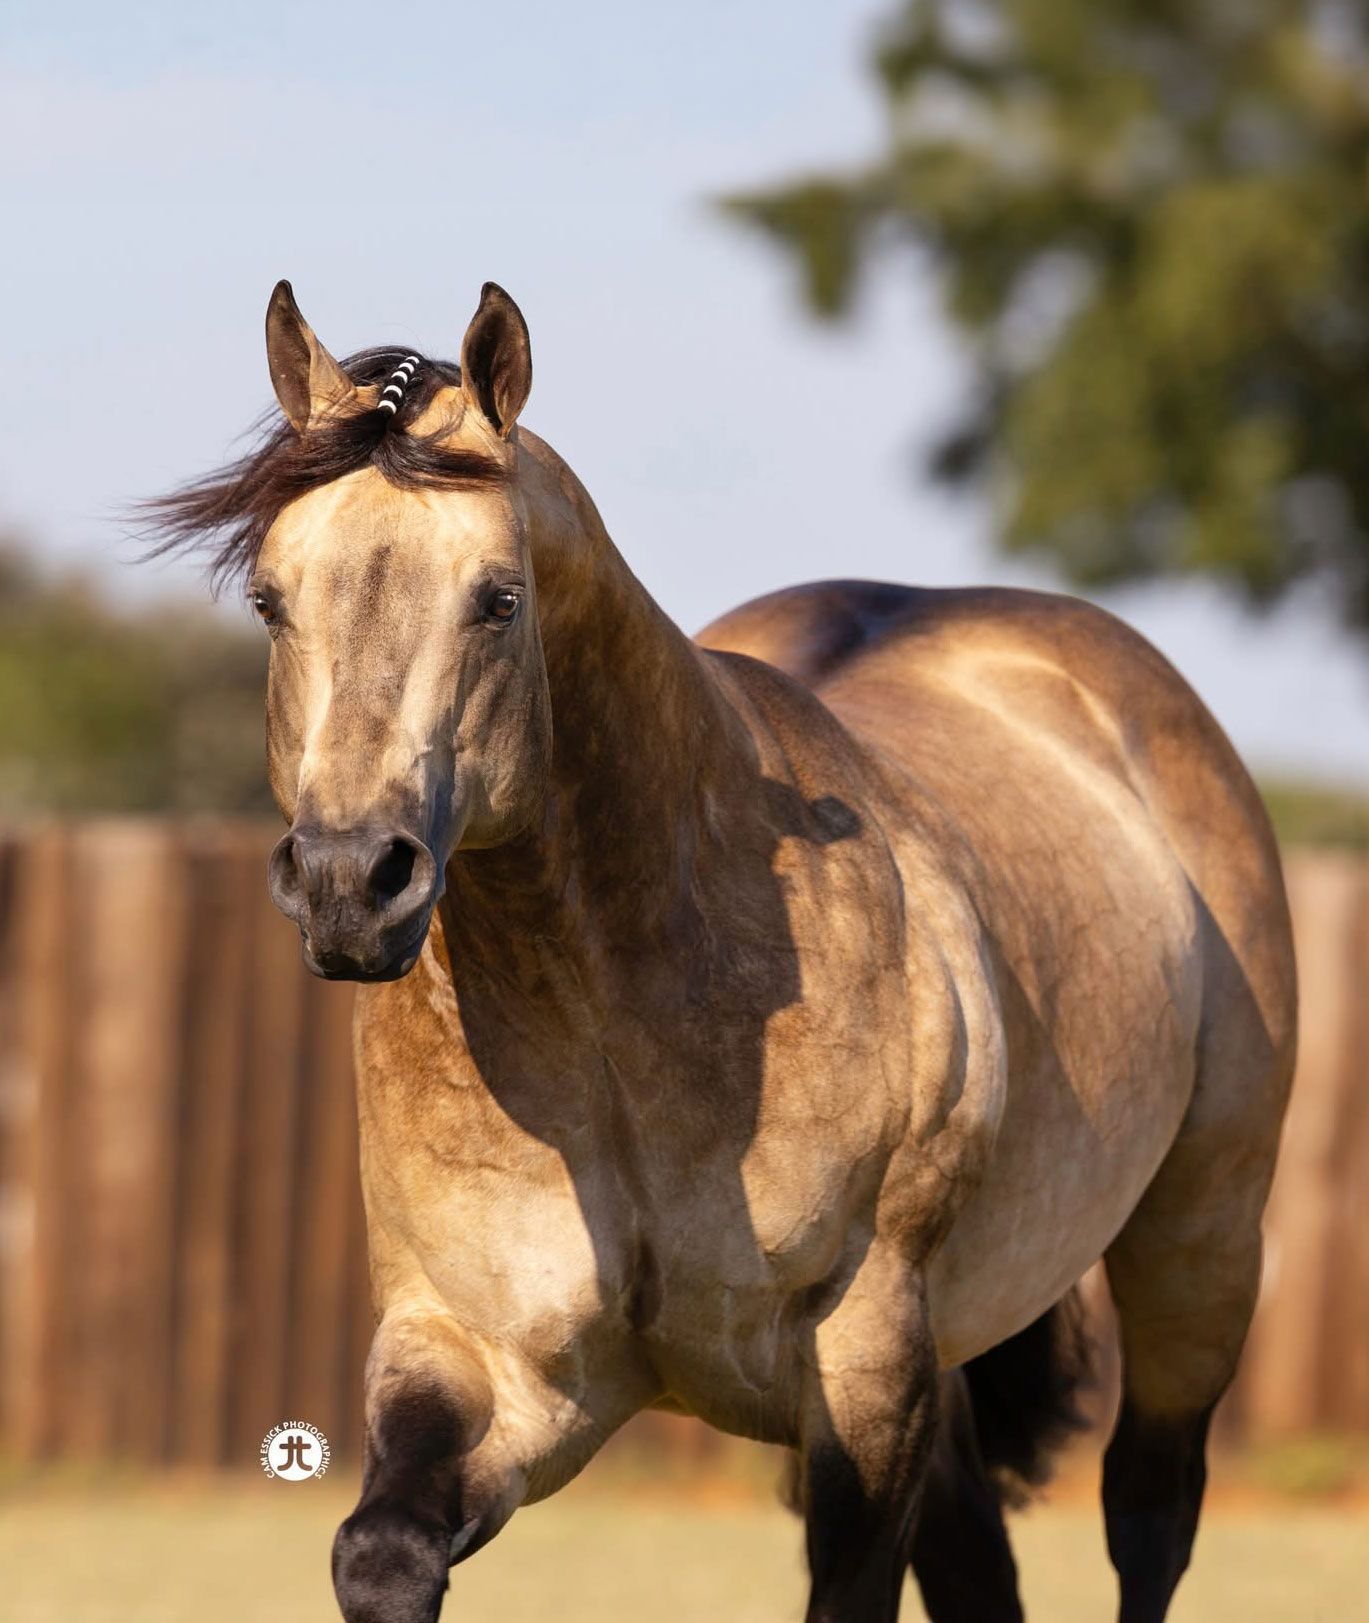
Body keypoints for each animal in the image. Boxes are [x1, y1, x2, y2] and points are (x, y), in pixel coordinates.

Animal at [148, 280, 1297, 1623]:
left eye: (499, 597)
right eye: (271, 600)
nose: (347, 886)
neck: (624, 1013)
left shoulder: (866, 1368)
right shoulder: (477, 1358)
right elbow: (381, 1553)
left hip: (1195, 1258)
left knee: (1150, 1517)